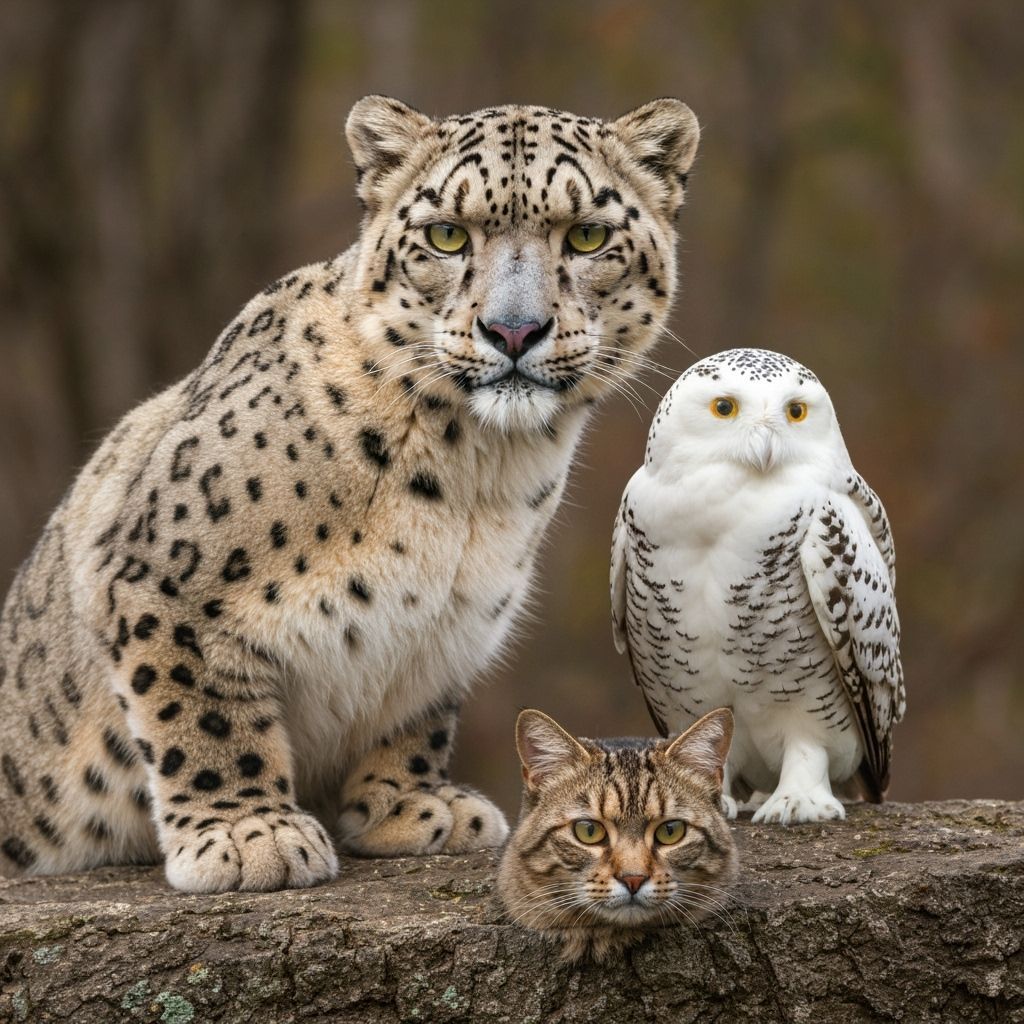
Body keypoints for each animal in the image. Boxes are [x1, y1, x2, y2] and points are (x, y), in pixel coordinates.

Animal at [0, 95, 700, 892]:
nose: (514, 329)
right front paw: (248, 833)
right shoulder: (165, 582)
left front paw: (410, 807)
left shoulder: (447, 626)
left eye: (587, 235)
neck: (477, 480)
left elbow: (416, 714)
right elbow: (206, 711)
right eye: (447, 234)